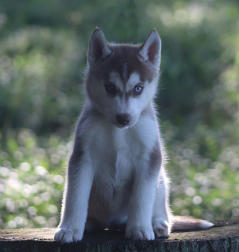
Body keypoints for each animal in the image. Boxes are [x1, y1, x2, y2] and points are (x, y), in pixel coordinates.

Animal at [54, 28, 213, 243]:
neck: (118, 132)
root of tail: (111, 223)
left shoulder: (149, 157)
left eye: (138, 88)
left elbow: (142, 198)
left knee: (162, 206)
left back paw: (158, 224)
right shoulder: (82, 155)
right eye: (110, 87)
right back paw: (89, 224)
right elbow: (75, 197)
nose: (124, 118)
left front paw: (139, 229)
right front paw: (69, 229)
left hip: (161, 179)